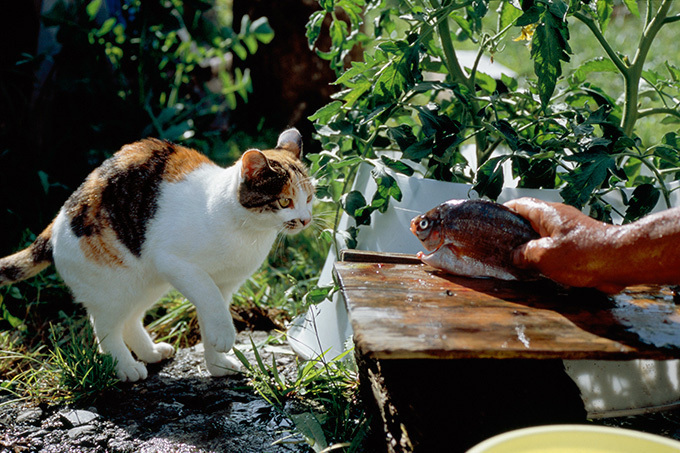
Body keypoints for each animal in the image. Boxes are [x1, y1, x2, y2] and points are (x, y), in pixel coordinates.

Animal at [0, 127, 314, 382]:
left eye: (309, 198)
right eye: (285, 201)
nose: (305, 220)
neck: (246, 231)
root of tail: (57, 221)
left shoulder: (223, 285)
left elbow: (212, 312)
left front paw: (217, 364)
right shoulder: (178, 264)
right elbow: (210, 299)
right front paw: (225, 337)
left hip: (146, 283)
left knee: (129, 320)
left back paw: (150, 352)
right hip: (113, 286)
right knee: (105, 326)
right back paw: (125, 367)